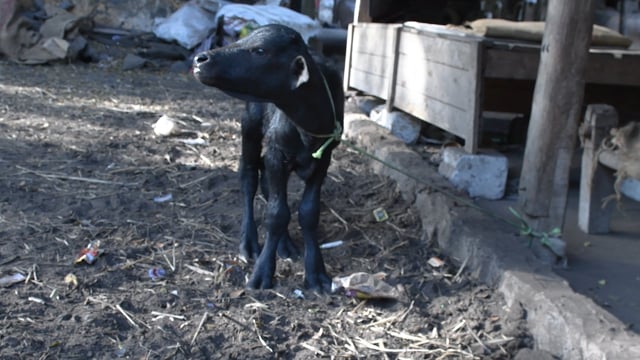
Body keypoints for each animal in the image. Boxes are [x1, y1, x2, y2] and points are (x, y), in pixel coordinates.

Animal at [192, 23, 344, 292]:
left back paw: (285, 245)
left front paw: (316, 272)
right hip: (250, 125)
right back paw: (249, 244)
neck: (308, 125)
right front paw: (262, 272)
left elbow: (308, 212)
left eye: (260, 50)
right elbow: (276, 214)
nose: (200, 59)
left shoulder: (324, 158)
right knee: (250, 176)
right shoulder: (276, 153)